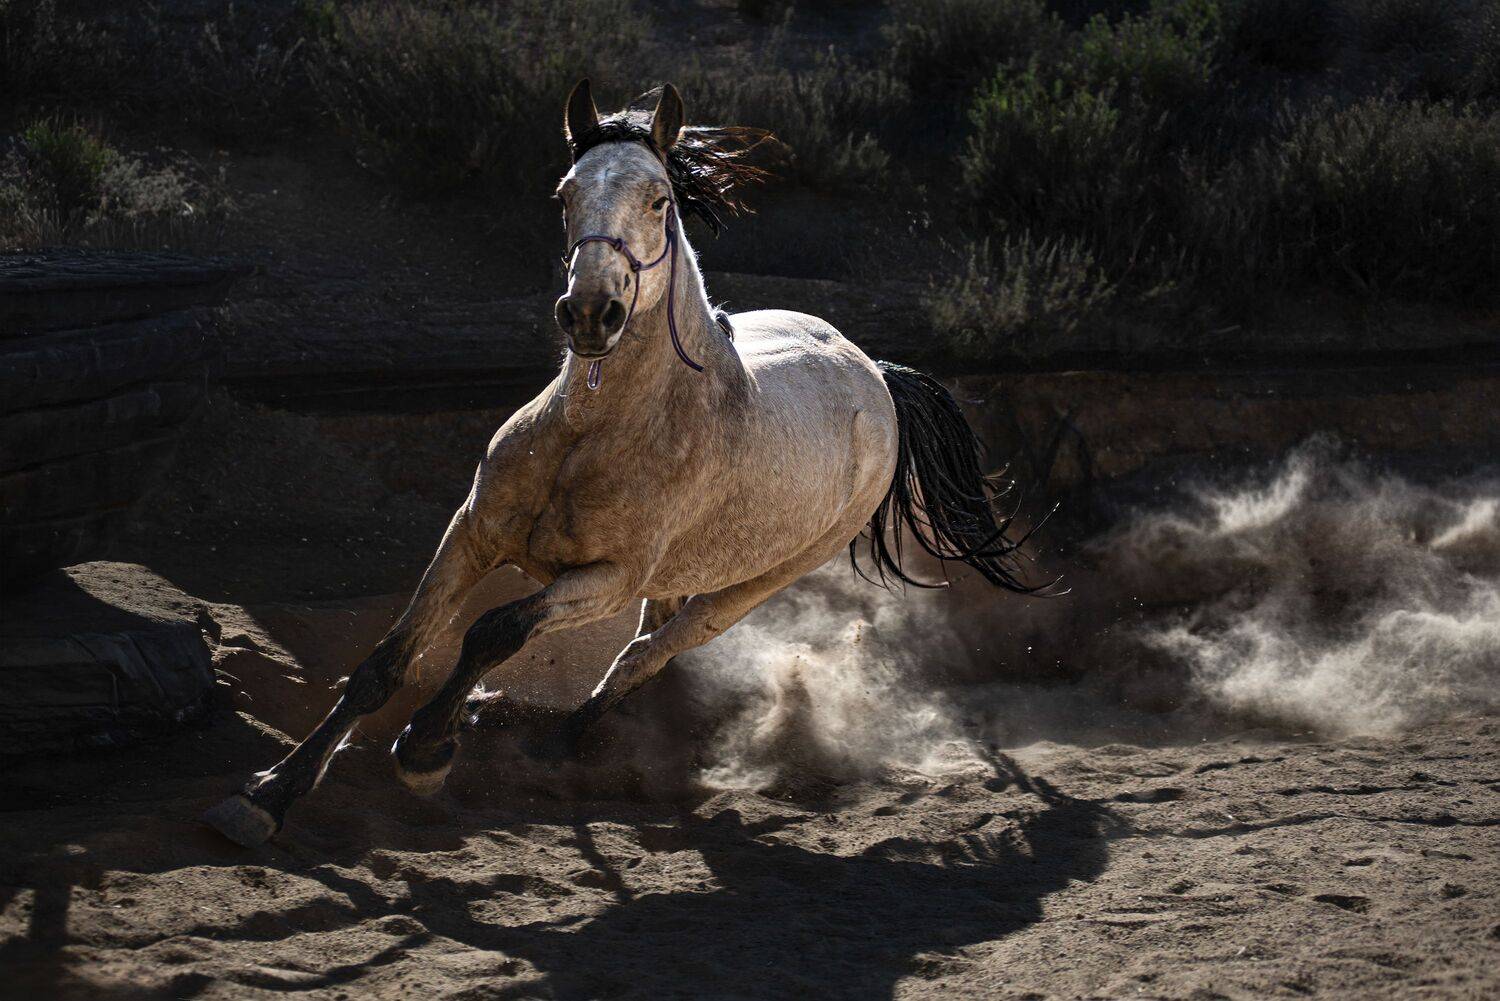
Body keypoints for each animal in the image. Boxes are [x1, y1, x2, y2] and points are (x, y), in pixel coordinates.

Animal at [204, 81, 1048, 848]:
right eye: (565, 192)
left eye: (659, 200)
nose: (590, 313)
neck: (591, 436)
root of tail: (876, 374)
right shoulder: (471, 533)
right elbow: (387, 658)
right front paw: (269, 795)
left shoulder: (606, 578)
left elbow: (494, 630)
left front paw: (425, 748)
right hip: (679, 572)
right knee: (644, 639)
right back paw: (498, 714)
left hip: (748, 587)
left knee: (650, 652)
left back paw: (551, 739)